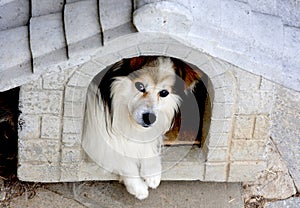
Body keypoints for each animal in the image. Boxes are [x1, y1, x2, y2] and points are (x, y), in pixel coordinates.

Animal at [81, 56, 202, 199]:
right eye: (139, 86)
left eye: (164, 93)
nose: (150, 118)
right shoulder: (95, 138)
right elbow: (121, 157)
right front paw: (137, 186)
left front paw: (152, 170)